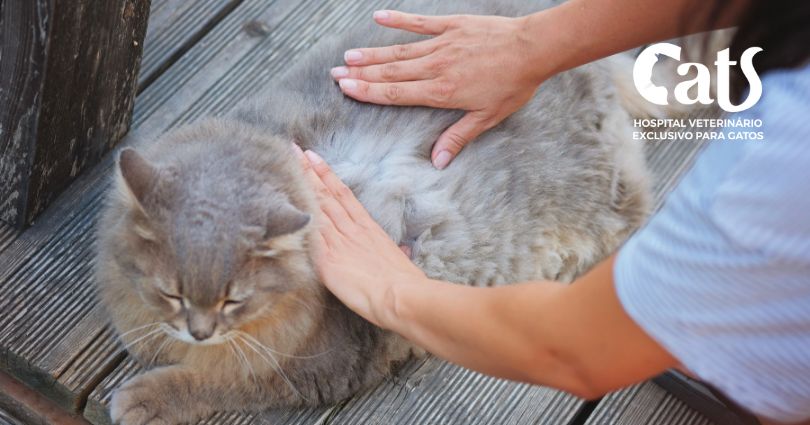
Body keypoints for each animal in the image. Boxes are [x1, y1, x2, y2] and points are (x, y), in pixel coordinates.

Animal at [94, 0, 652, 420]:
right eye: (171, 292)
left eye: (235, 301)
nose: (198, 329)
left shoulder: (313, 367)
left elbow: (219, 382)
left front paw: (143, 398)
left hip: (609, 201)